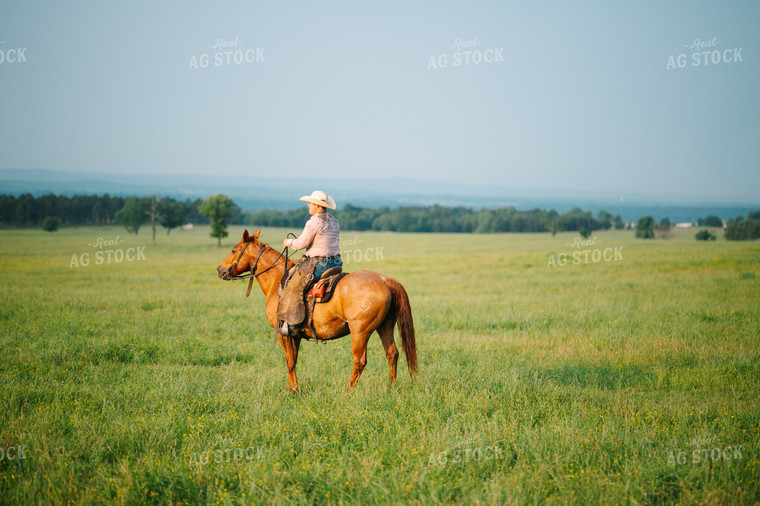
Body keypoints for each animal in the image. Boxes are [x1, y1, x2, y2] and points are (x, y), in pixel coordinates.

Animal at [214, 229, 418, 392]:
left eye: (233, 250)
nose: (219, 269)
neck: (277, 280)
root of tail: (385, 280)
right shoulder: (294, 334)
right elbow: (293, 360)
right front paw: (291, 387)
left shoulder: (282, 333)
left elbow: (289, 361)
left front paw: (293, 390)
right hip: (385, 326)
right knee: (392, 354)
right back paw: (391, 387)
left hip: (360, 332)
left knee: (359, 361)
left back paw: (348, 391)